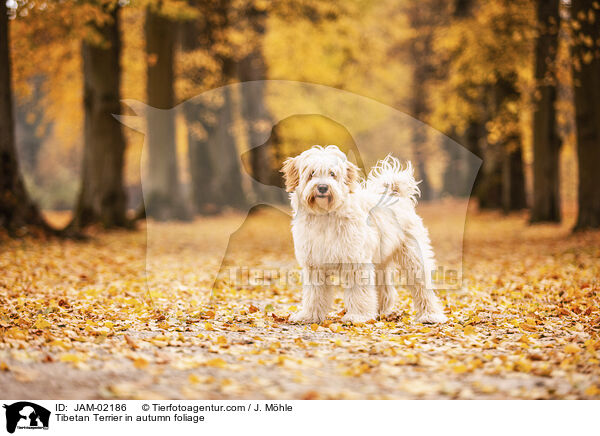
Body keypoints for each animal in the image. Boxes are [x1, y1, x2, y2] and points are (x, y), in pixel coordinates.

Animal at [282, 146, 446, 324]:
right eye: (312, 173)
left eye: (332, 174)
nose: (323, 187)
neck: (325, 215)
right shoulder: (314, 265)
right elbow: (314, 294)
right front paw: (309, 316)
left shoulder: (356, 262)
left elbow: (358, 292)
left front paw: (357, 316)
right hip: (380, 261)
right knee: (385, 289)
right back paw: (380, 312)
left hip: (413, 257)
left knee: (422, 287)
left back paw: (430, 315)